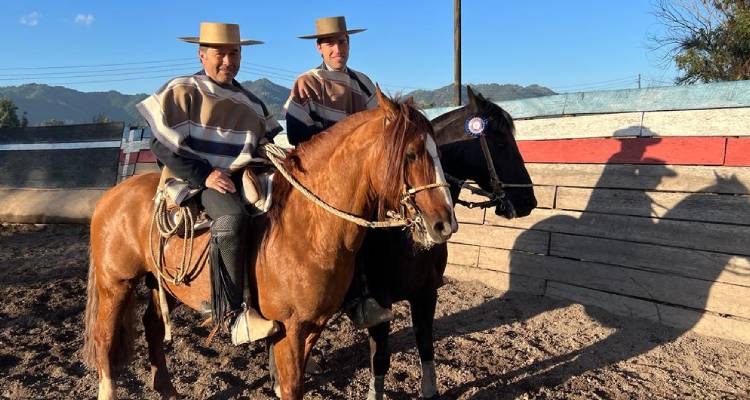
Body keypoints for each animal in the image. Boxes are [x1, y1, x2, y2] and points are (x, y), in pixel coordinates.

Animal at [83, 90, 458, 400]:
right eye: (411, 154)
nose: (445, 224)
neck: (308, 228)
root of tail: (110, 197)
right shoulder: (290, 328)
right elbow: (292, 386)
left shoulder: (312, 325)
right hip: (115, 284)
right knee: (104, 338)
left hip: (168, 286)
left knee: (152, 326)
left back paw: (167, 389)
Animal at [360, 88, 540, 400]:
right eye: (501, 142)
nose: (528, 201)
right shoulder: (379, 301)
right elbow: (379, 358)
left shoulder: (426, 293)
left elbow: (425, 343)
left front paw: (430, 390)